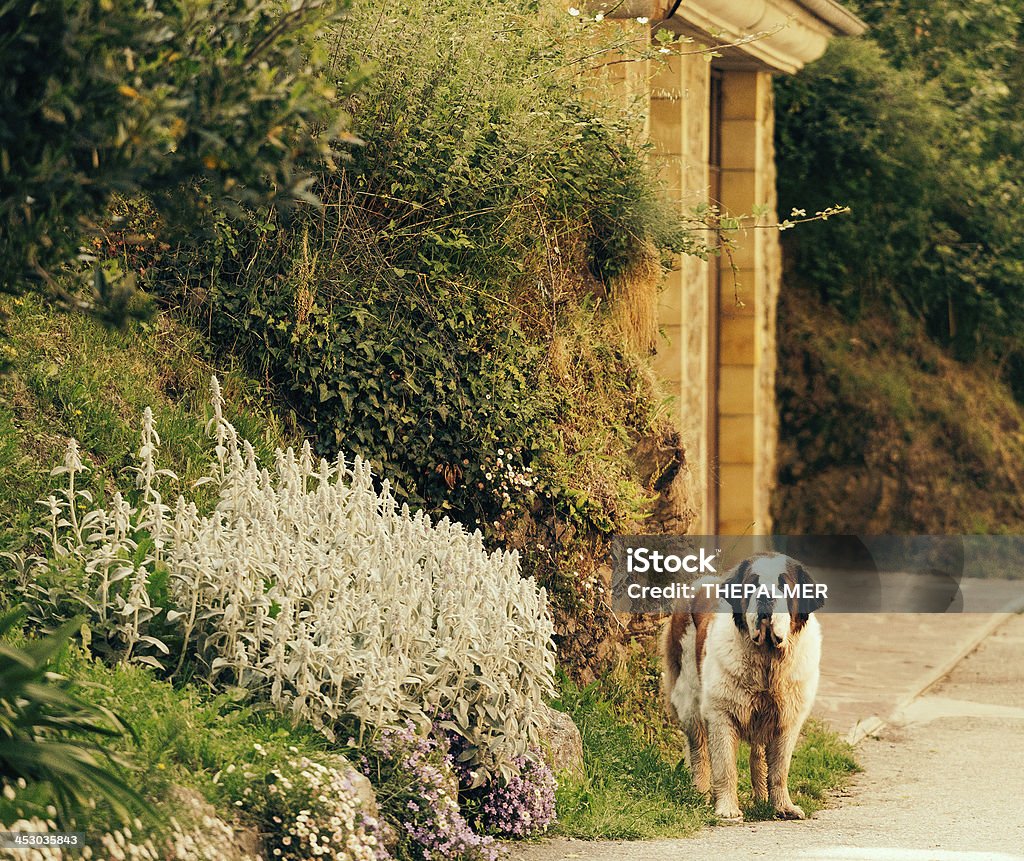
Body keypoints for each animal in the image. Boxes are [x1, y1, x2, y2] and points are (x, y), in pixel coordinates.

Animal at [663, 552, 823, 823]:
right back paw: (700, 793)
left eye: (784, 585)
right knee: (699, 749)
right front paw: (727, 808)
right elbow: (725, 766)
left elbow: (779, 769)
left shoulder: (788, 720)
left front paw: (783, 806)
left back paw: (761, 798)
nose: (765, 596)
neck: (768, 662)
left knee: (757, 755)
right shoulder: (721, 715)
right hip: (688, 698)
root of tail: (701, 582)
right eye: (752, 585)